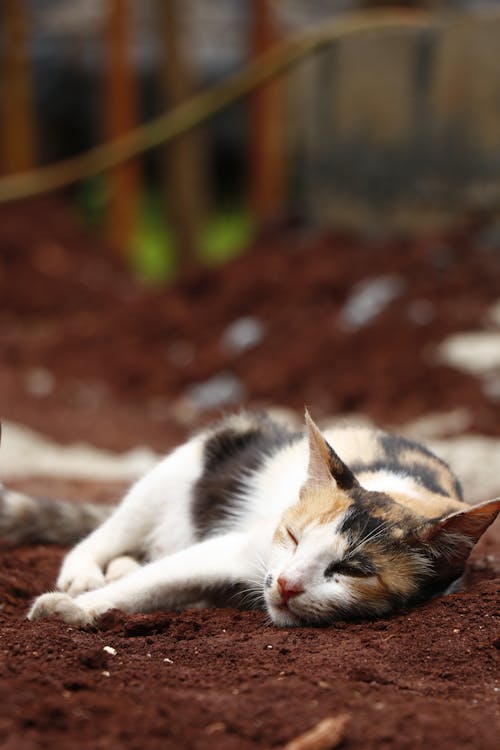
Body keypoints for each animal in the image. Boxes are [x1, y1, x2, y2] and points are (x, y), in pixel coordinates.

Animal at [0, 412, 498, 628]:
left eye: (354, 570)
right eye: (293, 537)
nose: (288, 584)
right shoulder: (237, 548)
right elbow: (145, 585)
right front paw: (72, 608)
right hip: (177, 471)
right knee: (104, 534)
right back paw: (84, 573)